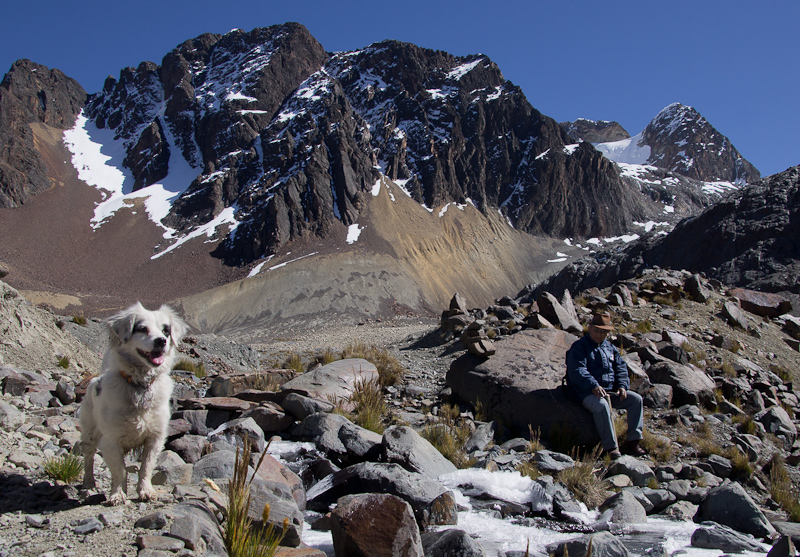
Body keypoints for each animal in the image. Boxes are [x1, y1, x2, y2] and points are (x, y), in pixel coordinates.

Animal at [80, 304, 188, 504]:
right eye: (142, 329)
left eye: (166, 330)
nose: (161, 341)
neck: (140, 385)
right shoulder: (111, 440)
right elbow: (119, 470)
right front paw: (117, 494)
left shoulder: (155, 437)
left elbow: (146, 467)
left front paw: (146, 491)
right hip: (89, 433)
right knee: (88, 457)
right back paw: (88, 483)